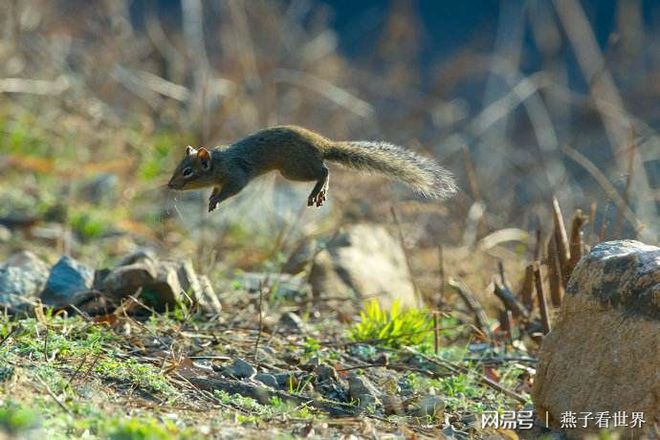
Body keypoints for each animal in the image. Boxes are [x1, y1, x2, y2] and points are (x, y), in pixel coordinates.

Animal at [165, 124, 456, 212]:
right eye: (178, 167)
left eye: (188, 172)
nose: (170, 185)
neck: (219, 162)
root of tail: (323, 145)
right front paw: (212, 198)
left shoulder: (237, 175)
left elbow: (232, 189)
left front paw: (216, 200)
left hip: (293, 169)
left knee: (325, 171)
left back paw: (319, 191)